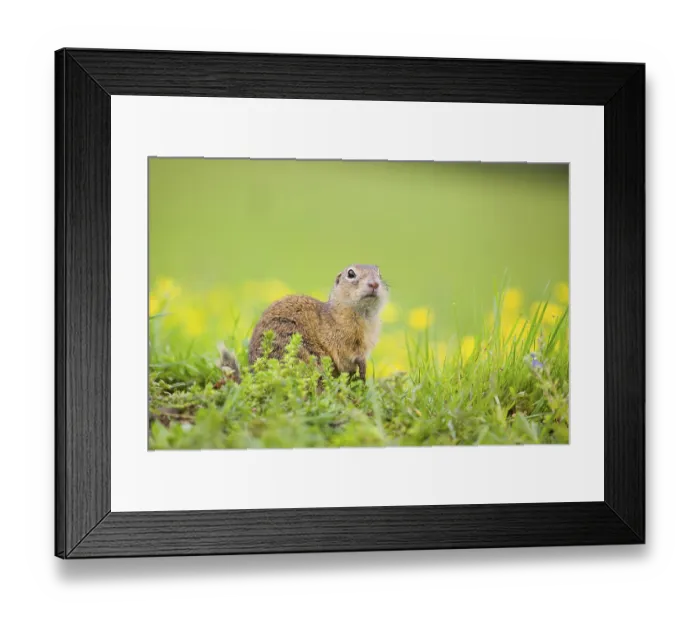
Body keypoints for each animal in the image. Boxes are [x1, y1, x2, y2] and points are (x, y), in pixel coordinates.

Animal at [217, 264, 389, 383]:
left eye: (380, 274)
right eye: (351, 273)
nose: (374, 284)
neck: (363, 314)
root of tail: (257, 376)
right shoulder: (342, 339)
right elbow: (349, 355)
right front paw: (362, 369)